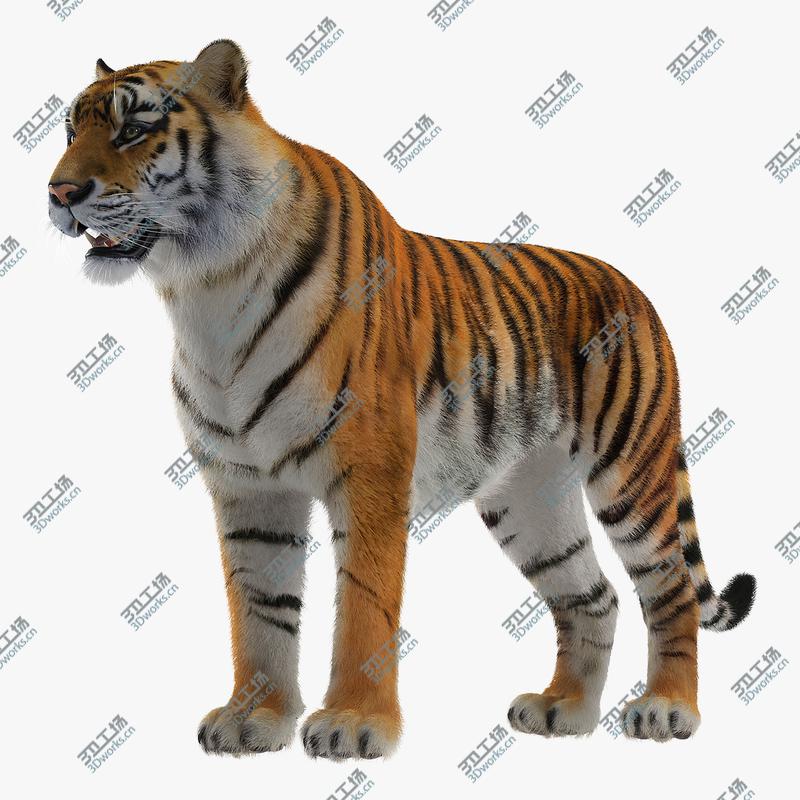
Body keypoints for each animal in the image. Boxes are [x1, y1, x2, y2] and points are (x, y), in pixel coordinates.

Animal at [47, 40, 756, 758]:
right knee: (593, 596)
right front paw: (254, 718)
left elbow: (364, 605)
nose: (59, 192)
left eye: (135, 128)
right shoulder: (247, 485)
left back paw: (666, 709)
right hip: (530, 495)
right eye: (69, 131)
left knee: (668, 589)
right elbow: (258, 612)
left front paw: (353, 723)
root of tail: (633, 287)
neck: (205, 287)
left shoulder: (369, 470)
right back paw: (565, 710)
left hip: (630, 469)